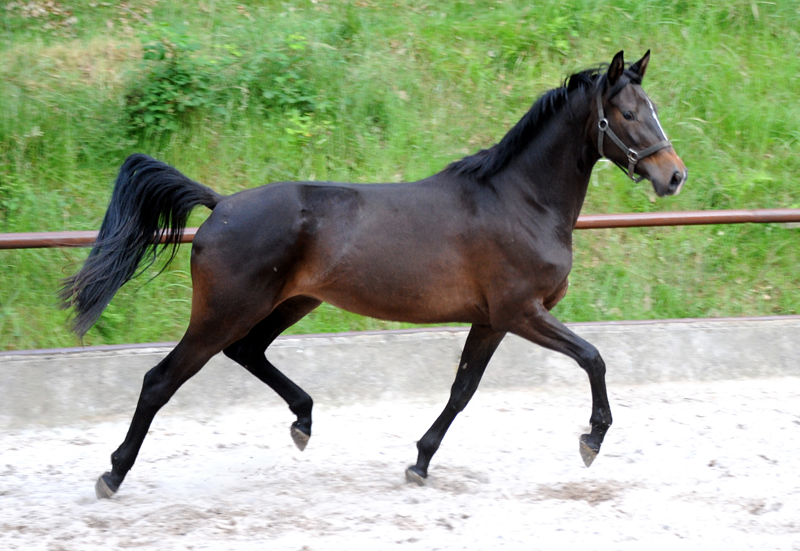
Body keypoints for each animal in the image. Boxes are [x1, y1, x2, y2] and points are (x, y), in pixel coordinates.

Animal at [61, 51, 688, 500]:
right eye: (627, 114)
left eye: (652, 107)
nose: (674, 176)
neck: (520, 201)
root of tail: (219, 205)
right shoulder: (521, 312)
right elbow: (593, 359)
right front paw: (591, 440)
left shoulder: (491, 321)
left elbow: (462, 390)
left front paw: (420, 461)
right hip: (224, 313)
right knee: (160, 380)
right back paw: (113, 474)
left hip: (291, 303)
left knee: (248, 352)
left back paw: (304, 420)